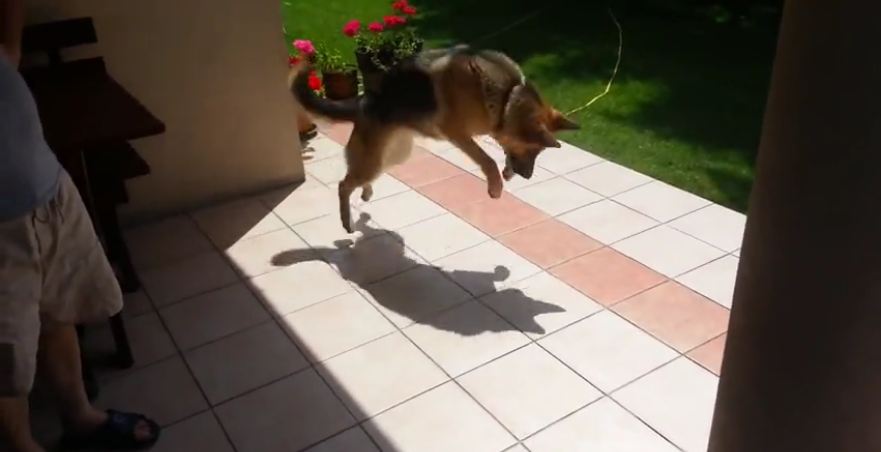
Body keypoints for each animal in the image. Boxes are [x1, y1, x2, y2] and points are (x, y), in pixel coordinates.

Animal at [288, 45, 576, 231]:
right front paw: (495, 186)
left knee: (357, 177)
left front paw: (507, 173)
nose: (527, 176)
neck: (507, 96)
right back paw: (346, 221)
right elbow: (487, 160)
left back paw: (366, 193)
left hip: (393, 155)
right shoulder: (458, 134)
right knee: (343, 184)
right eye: (533, 150)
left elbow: (499, 154)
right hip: (376, 159)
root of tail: (363, 101)